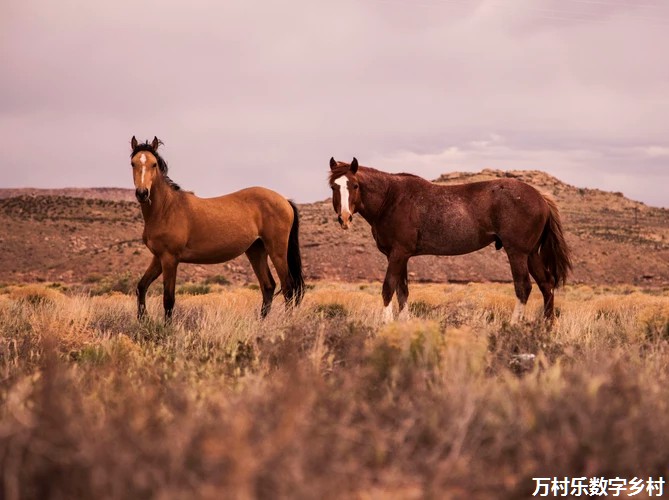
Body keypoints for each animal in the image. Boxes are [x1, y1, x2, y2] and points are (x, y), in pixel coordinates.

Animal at [129, 137, 306, 322]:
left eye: (154, 164)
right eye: (133, 163)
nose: (142, 193)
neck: (166, 208)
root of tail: (284, 200)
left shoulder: (170, 259)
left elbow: (168, 299)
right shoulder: (158, 258)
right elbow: (141, 287)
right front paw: (143, 319)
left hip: (277, 251)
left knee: (288, 288)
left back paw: (286, 322)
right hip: (256, 250)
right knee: (268, 286)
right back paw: (261, 323)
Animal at [326, 159, 572, 324]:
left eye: (355, 186)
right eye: (334, 186)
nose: (344, 218)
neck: (391, 198)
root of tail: (540, 197)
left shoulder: (397, 254)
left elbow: (388, 288)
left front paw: (386, 324)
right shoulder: (401, 256)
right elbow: (402, 291)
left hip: (517, 253)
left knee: (524, 287)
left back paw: (514, 326)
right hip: (531, 254)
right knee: (547, 284)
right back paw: (546, 327)